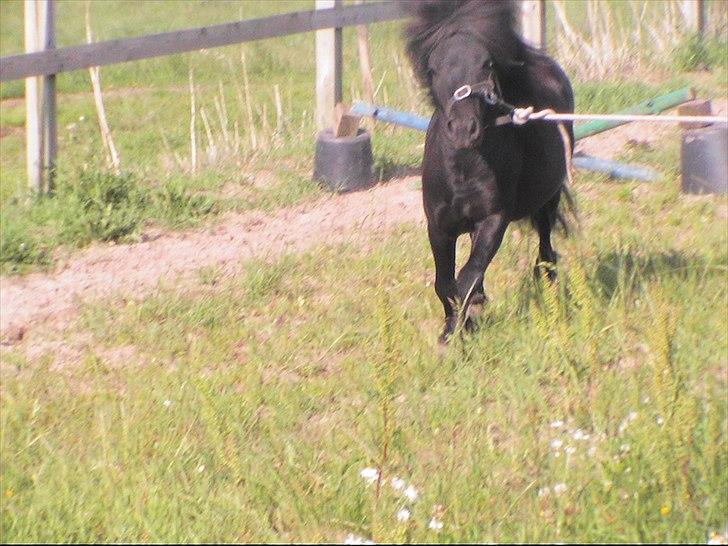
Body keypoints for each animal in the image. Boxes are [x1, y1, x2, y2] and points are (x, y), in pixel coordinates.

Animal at [403, 0, 575, 345]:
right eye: (433, 69)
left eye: (486, 64)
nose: (463, 130)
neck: (463, 168)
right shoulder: (438, 226)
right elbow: (446, 283)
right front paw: (455, 328)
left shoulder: (495, 219)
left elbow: (466, 277)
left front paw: (456, 332)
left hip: (547, 200)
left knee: (545, 243)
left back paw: (548, 280)